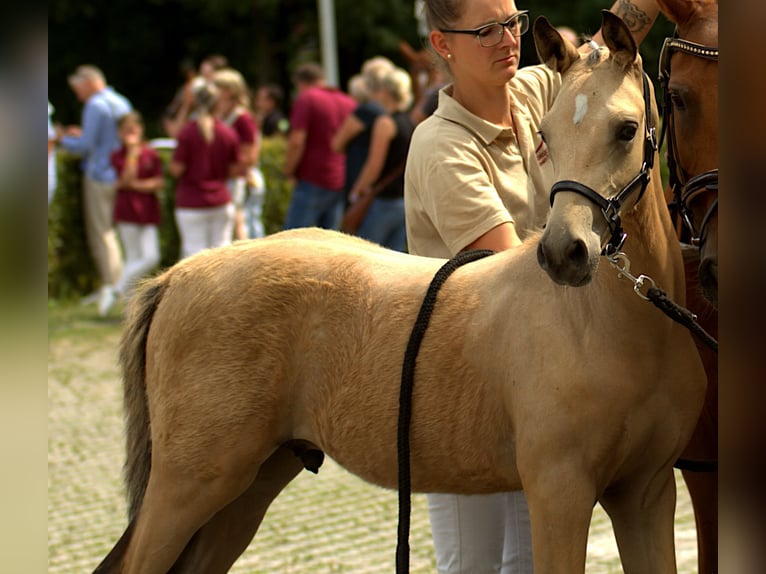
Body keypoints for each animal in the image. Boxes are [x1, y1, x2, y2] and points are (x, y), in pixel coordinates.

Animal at [94, 13, 708, 574]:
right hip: (190, 485)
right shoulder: (560, 493)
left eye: (626, 129)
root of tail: (176, 277)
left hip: (248, 488)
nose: (565, 253)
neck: (612, 328)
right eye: (547, 136)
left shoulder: (646, 495)